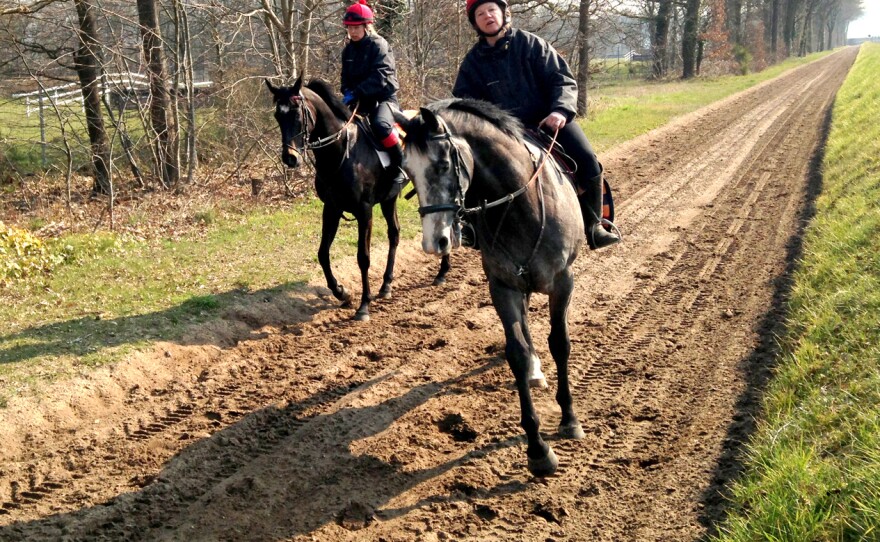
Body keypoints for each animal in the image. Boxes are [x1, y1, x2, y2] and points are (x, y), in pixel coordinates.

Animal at [266, 77, 451, 321]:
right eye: (278, 116)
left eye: (297, 113)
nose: (290, 158)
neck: (343, 150)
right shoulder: (331, 208)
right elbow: (323, 254)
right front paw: (341, 292)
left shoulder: (364, 210)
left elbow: (363, 257)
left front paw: (363, 306)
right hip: (389, 199)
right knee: (395, 234)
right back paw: (386, 285)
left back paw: (442, 271)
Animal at [395, 99, 586, 476]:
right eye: (407, 169)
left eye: (442, 164)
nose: (435, 242)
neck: (520, 209)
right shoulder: (502, 286)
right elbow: (516, 351)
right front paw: (537, 449)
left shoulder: (563, 282)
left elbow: (560, 343)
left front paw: (569, 419)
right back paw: (534, 371)